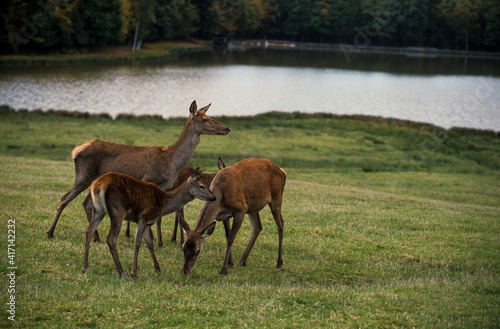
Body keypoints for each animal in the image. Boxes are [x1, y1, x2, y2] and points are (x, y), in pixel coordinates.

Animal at [46, 100, 229, 238]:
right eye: (204, 119)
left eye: (209, 116)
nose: (227, 128)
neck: (172, 161)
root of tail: (75, 151)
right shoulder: (149, 179)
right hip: (83, 175)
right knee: (64, 198)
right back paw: (50, 232)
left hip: (92, 180)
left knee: (86, 204)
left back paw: (96, 237)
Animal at [81, 168, 215, 278]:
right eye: (202, 186)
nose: (213, 197)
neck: (164, 202)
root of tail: (97, 186)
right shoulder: (143, 217)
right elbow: (137, 243)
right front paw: (134, 272)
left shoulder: (147, 222)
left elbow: (150, 243)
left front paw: (157, 269)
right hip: (117, 211)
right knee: (111, 239)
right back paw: (121, 271)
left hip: (98, 210)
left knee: (89, 231)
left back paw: (85, 268)